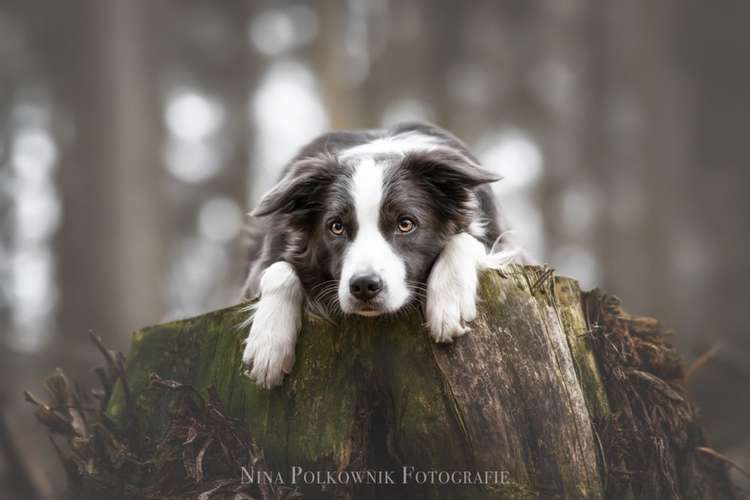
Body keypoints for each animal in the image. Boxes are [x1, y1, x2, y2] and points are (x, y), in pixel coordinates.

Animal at [242, 123, 524, 388]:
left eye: (406, 224)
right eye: (336, 227)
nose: (364, 286)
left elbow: (463, 239)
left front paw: (448, 303)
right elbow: (277, 269)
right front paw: (268, 343)